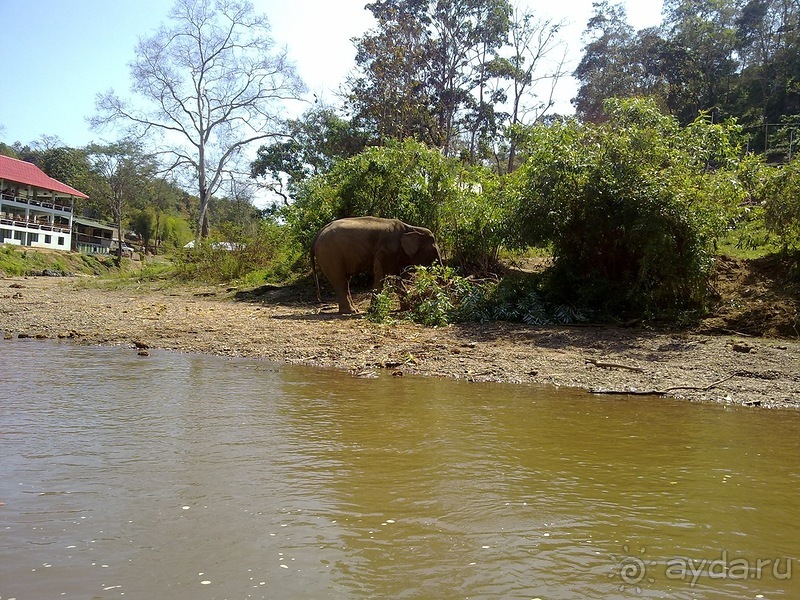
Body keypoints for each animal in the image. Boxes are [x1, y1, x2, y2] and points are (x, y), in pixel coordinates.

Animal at [310, 218, 444, 316]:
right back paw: (351, 312)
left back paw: (353, 310)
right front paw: (373, 311)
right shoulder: (385, 251)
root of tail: (318, 234)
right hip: (330, 255)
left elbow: (394, 277)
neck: (410, 228)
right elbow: (383, 276)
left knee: (344, 281)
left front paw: (407, 308)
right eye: (434, 251)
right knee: (340, 281)